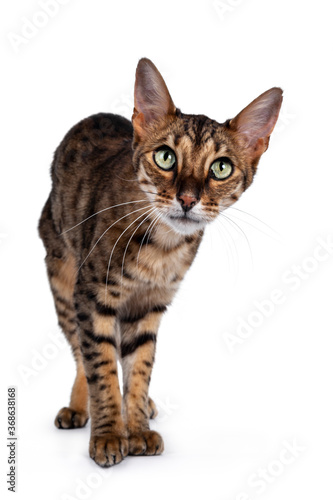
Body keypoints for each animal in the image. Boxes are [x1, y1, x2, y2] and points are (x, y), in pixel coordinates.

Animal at [38, 56, 282, 466]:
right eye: (166, 157)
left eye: (220, 168)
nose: (187, 199)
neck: (162, 248)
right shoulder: (92, 297)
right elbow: (100, 367)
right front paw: (108, 435)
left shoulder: (150, 306)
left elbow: (139, 368)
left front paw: (136, 427)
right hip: (63, 282)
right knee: (80, 353)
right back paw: (79, 406)